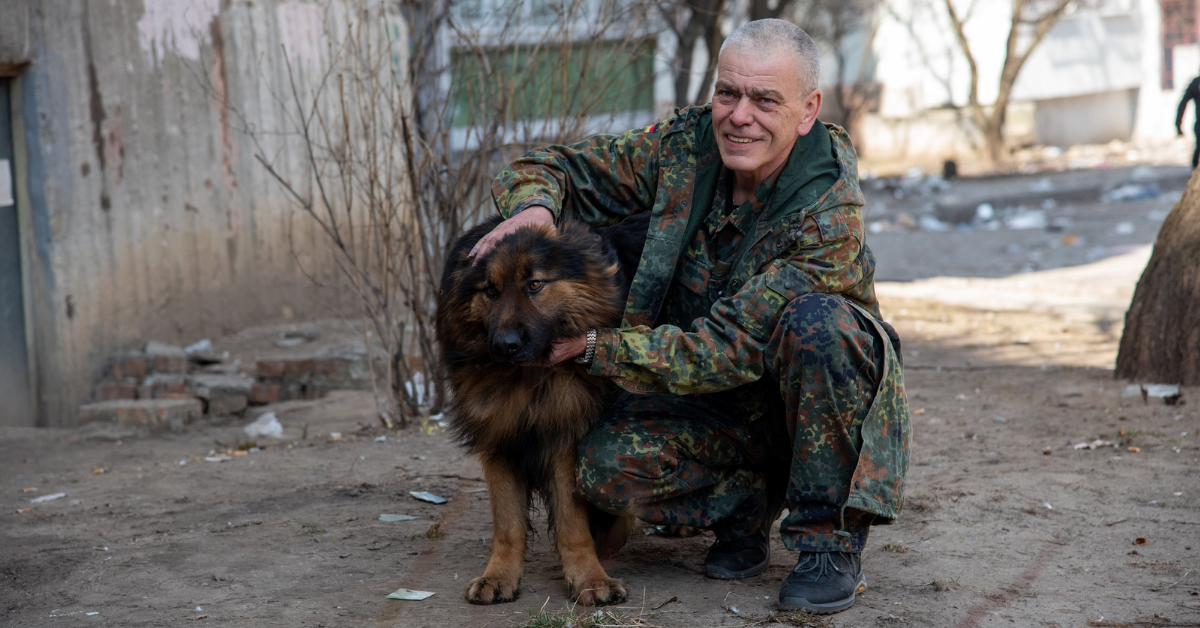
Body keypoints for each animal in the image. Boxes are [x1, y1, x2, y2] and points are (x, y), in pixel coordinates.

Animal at [436, 212, 652, 609]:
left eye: (534, 284)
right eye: (490, 291)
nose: (504, 346)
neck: (527, 380)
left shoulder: (565, 436)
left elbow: (572, 520)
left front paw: (590, 577)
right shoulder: (499, 437)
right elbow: (507, 523)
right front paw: (499, 575)